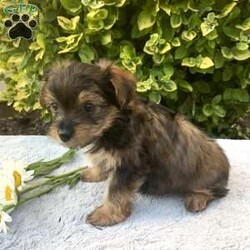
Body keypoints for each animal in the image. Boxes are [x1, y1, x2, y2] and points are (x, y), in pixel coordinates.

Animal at [40, 60, 229, 227]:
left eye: (89, 106)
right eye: (55, 107)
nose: (63, 134)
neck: (113, 124)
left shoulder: (128, 165)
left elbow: (115, 191)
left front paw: (106, 214)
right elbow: (101, 162)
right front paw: (94, 173)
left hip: (205, 175)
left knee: (213, 191)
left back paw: (196, 199)